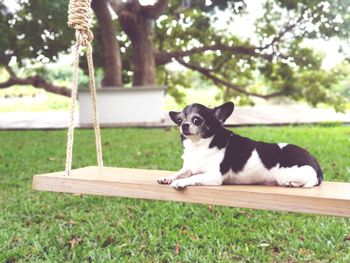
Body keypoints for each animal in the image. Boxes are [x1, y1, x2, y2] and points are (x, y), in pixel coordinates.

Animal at [158, 101, 322, 190]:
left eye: (197, 120)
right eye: (179, 121)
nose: (184, 125)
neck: (198, 145)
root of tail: (316, 165)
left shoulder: (213, 176)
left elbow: (193, 177)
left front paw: (180, 182)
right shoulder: (189, 168)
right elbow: (179, 172)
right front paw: (168, 177)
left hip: (289, 174)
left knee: (310, 182)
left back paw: (293, 183)